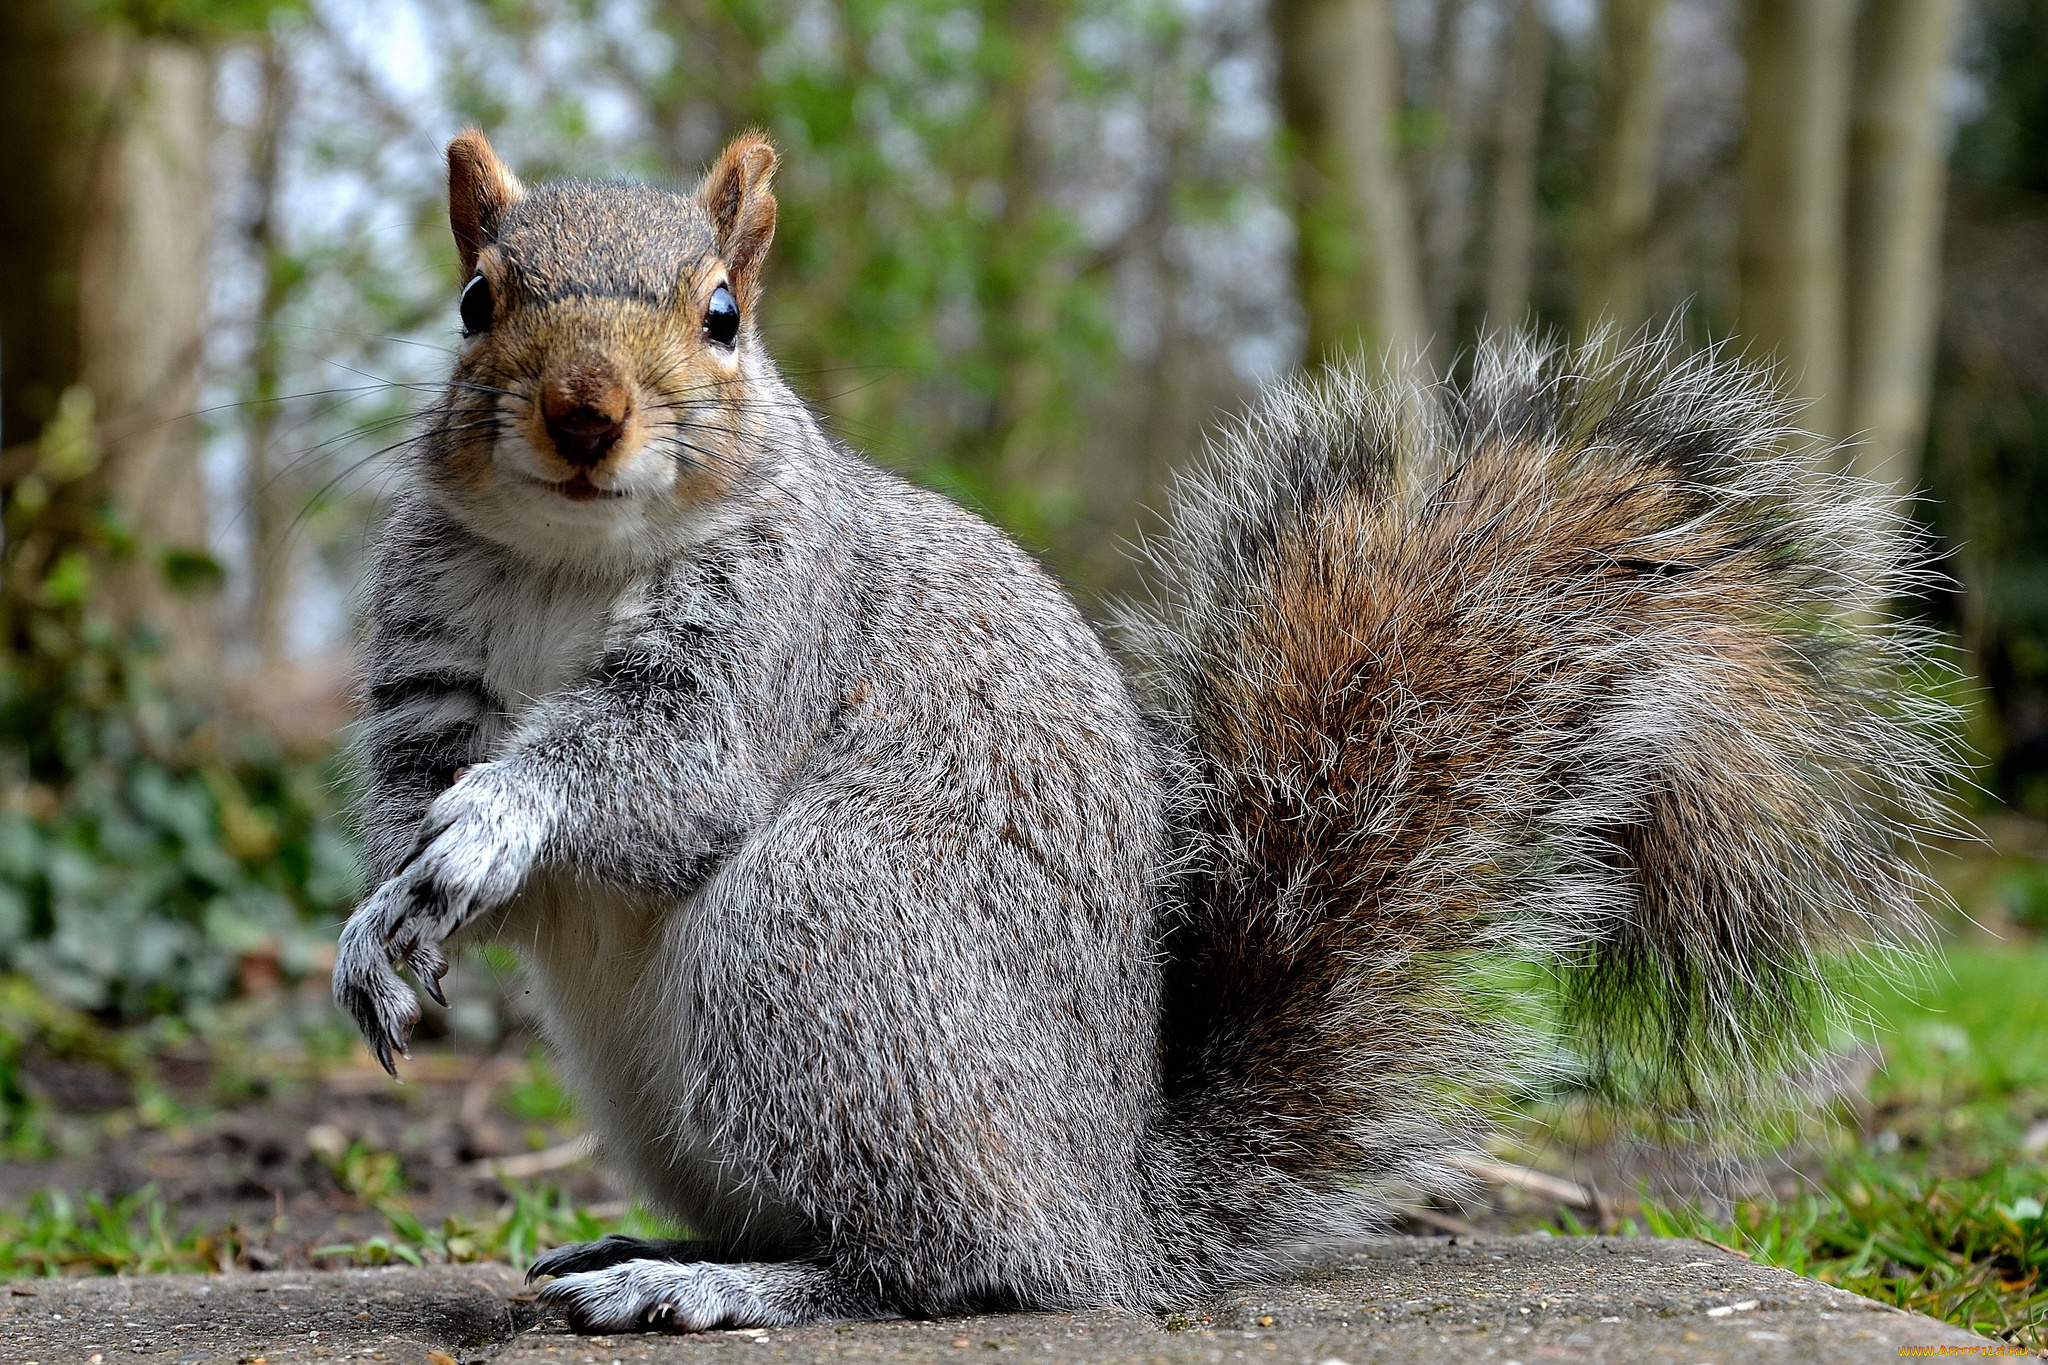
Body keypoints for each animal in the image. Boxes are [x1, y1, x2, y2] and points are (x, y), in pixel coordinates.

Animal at [335, 130, 1966, 1334]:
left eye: (722, 315)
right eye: (476, 300)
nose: (584, 412)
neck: (575, 562)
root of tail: (1121, 1209)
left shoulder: (774, 641)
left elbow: (665, 778)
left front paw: (494, 822)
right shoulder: (428, 672)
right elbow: (415, 809)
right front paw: (378, 925)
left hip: (826, 943)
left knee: (955, 1266)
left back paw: (718, 1284)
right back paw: (642, 1243)